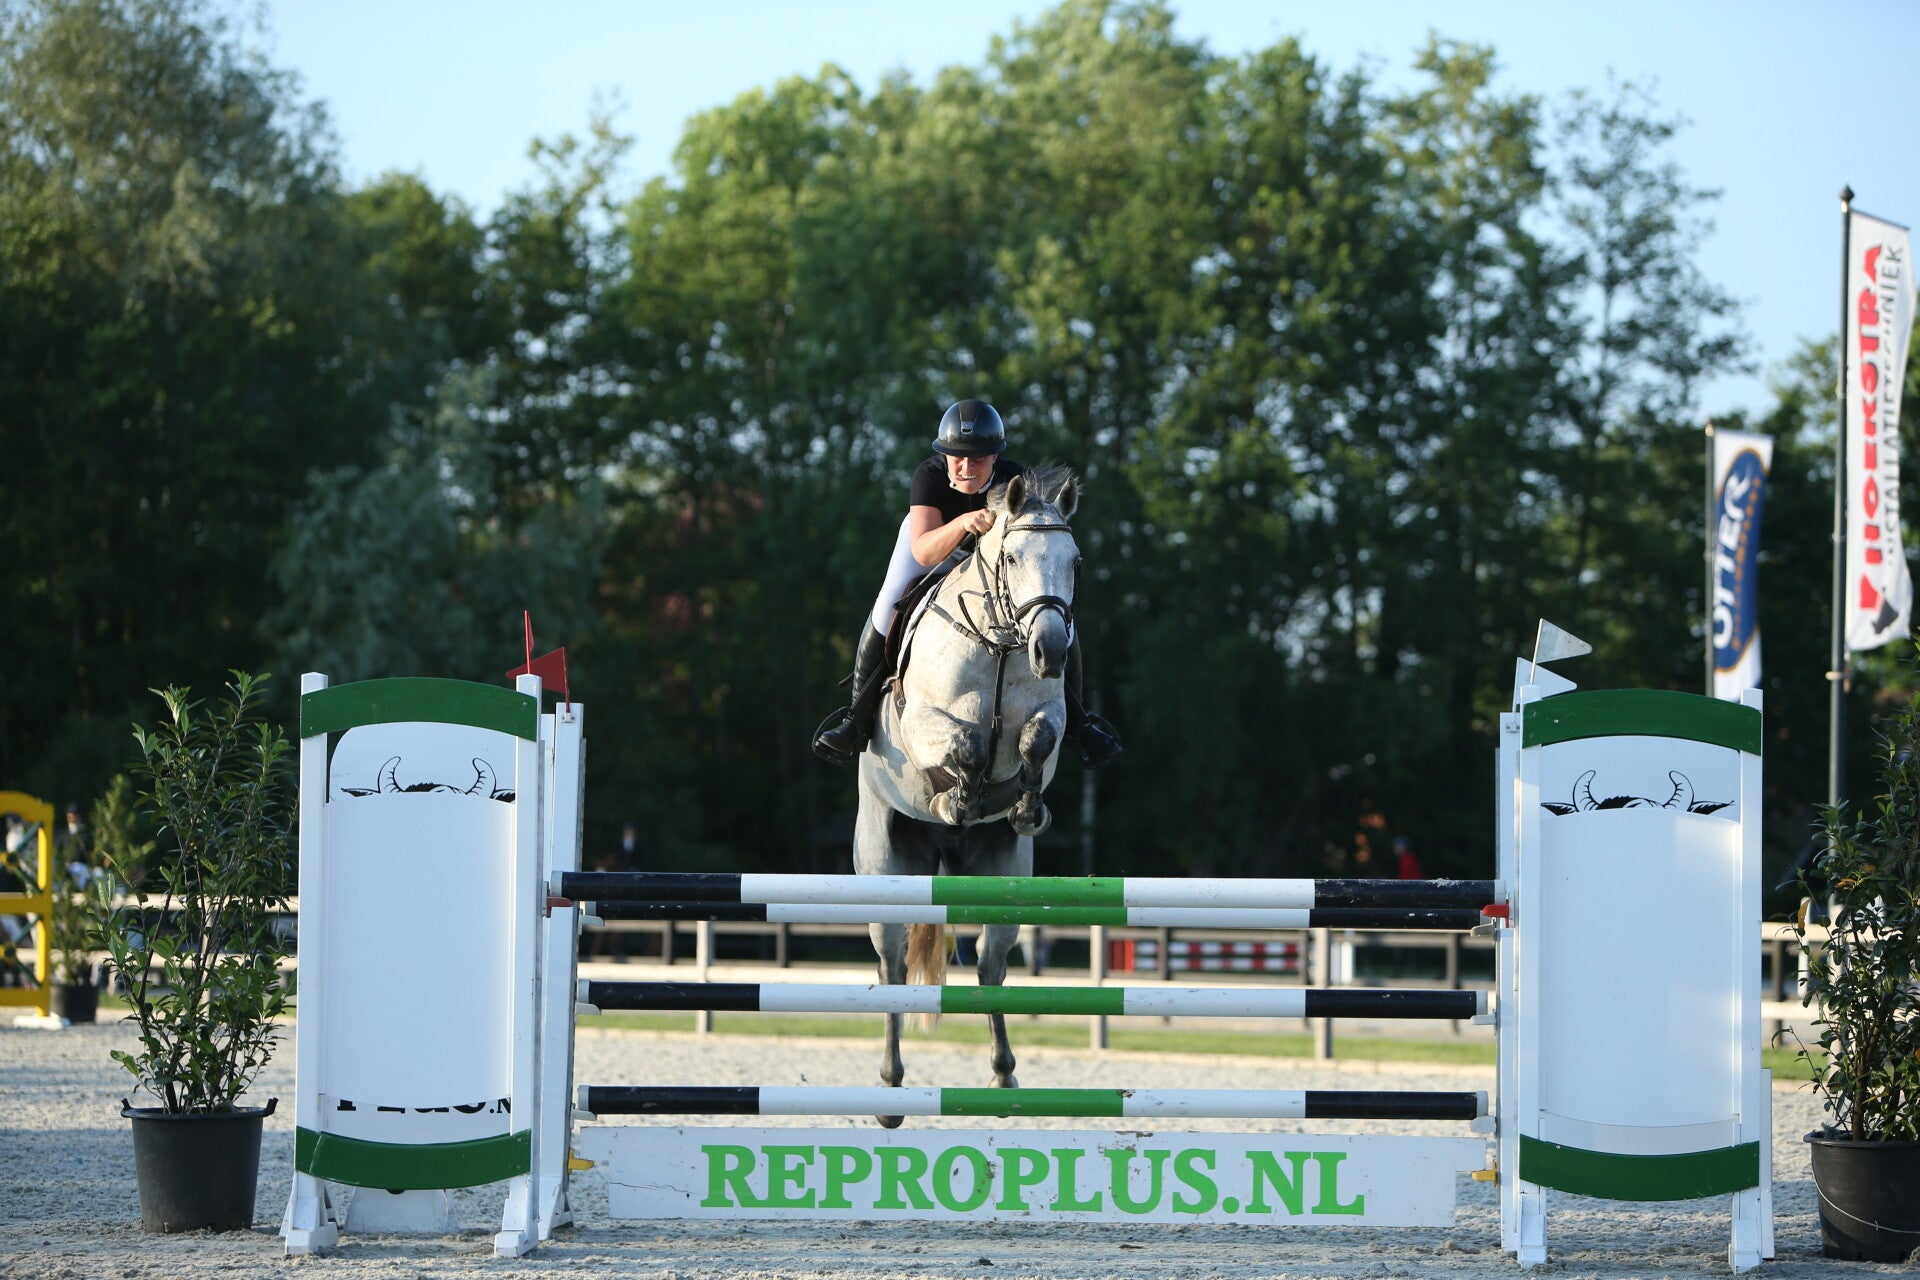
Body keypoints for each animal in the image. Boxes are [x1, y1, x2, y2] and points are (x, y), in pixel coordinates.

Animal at [854, 462, 1081, 1127]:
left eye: (1075, 561)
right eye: (1009, 558)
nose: (1051, 651)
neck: (1001, 644)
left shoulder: (1053, 721)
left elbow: (1037, 738)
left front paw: (1025, 804)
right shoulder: (921, 725)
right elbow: (966, 743)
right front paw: (956, 796)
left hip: (1003, 874)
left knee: (989, 965)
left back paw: (1004, 1078)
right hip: (886, 865)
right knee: (893, 965)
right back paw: (890, 1092)